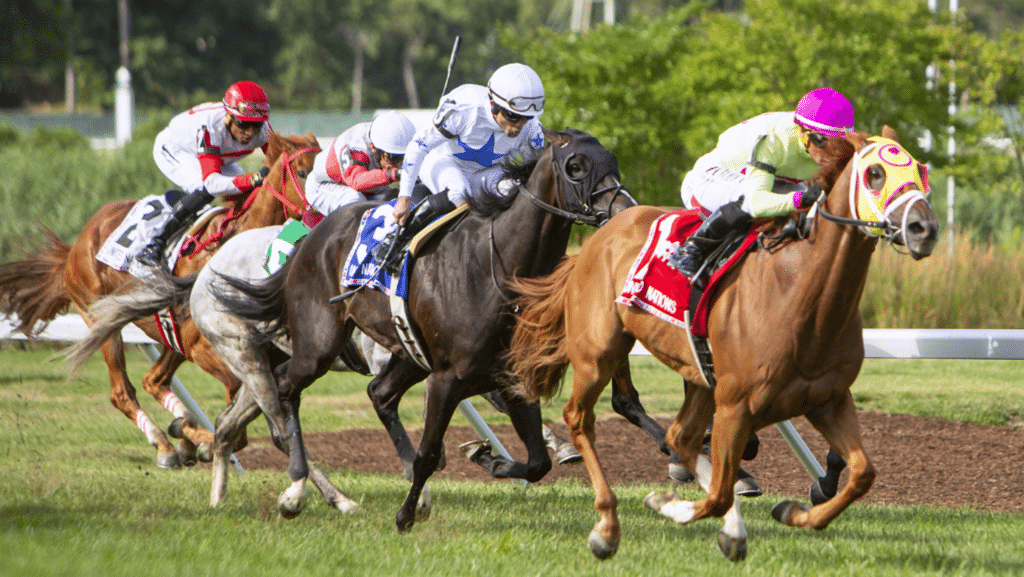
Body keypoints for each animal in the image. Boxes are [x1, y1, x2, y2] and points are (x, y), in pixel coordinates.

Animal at [0, 131, 319, 469]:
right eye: (302, 172)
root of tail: (79, 242)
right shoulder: (204, 349)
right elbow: (236, 420)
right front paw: (199, 442)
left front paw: (194, 439)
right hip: (103, 319)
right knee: (122, 392)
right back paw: (166, 444)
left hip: (170, 337)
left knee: (153, 380)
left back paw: (181, 438)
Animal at [211, 128, 634, 528]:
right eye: (576, 167)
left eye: (613, 161)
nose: (625, 210)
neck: (498, 269)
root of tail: (308, 238)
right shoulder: (448, 378)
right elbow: (429, 455)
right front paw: (405, 515)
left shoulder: (511, 377)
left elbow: (537, 463)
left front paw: (488, 458)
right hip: (319, 344)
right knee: (285, 387)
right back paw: (296, 490)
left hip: (406, 353)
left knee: (377, 393)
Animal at [503, 125, 937, 561]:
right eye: (875, 174)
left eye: (920, 170)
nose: (924, 229)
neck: (802, 295)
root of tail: (594, 241)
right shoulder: (736, 405)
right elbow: (717, 495)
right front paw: (668, 505)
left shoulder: (827, 399)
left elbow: (862, 473)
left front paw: (792, 513)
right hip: (598, 355)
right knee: (581, 419)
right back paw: (607, 527)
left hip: (698, 376)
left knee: (681, 436)